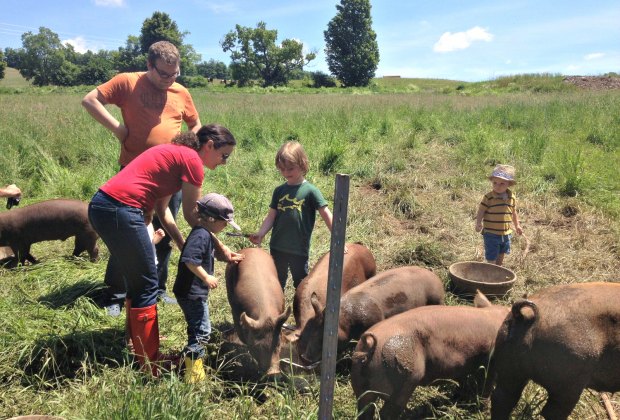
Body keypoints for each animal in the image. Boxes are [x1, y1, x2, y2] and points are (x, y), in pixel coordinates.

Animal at [224, 248, 292, 376]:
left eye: (278, 344)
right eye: (257, 347)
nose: (273, 372)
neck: (265, 314)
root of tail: (251, 248)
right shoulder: (236, 310)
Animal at [296, 266, 446, 364]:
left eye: (323, 337)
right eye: (308, 333)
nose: (305, 357)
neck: (347, 321)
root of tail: (437, 278)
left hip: (436, 298)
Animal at [352, 292, 506, 420]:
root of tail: (368, 345)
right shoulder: (491, 362)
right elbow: (487, 386)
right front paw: (483, 407)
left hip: (360, 383)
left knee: (365, 410)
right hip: (404, 378)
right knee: (387, 413)